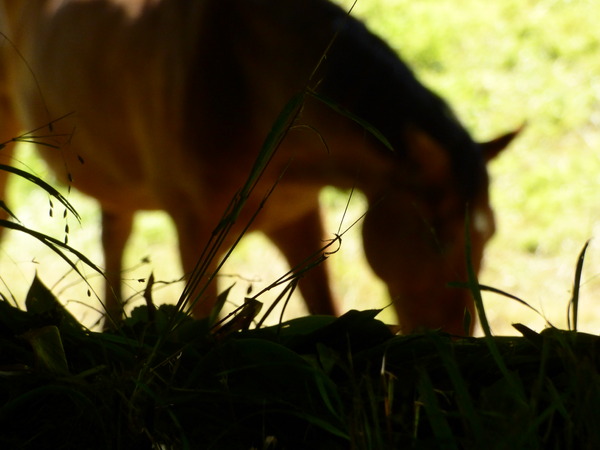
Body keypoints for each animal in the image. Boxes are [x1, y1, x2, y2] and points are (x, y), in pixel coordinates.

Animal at [0, 0, 516, 334]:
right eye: (436, 238)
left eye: (488, 237)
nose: (453, 338)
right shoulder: (197, 235)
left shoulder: (298, 218)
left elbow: (326, 308)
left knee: (115, 232)